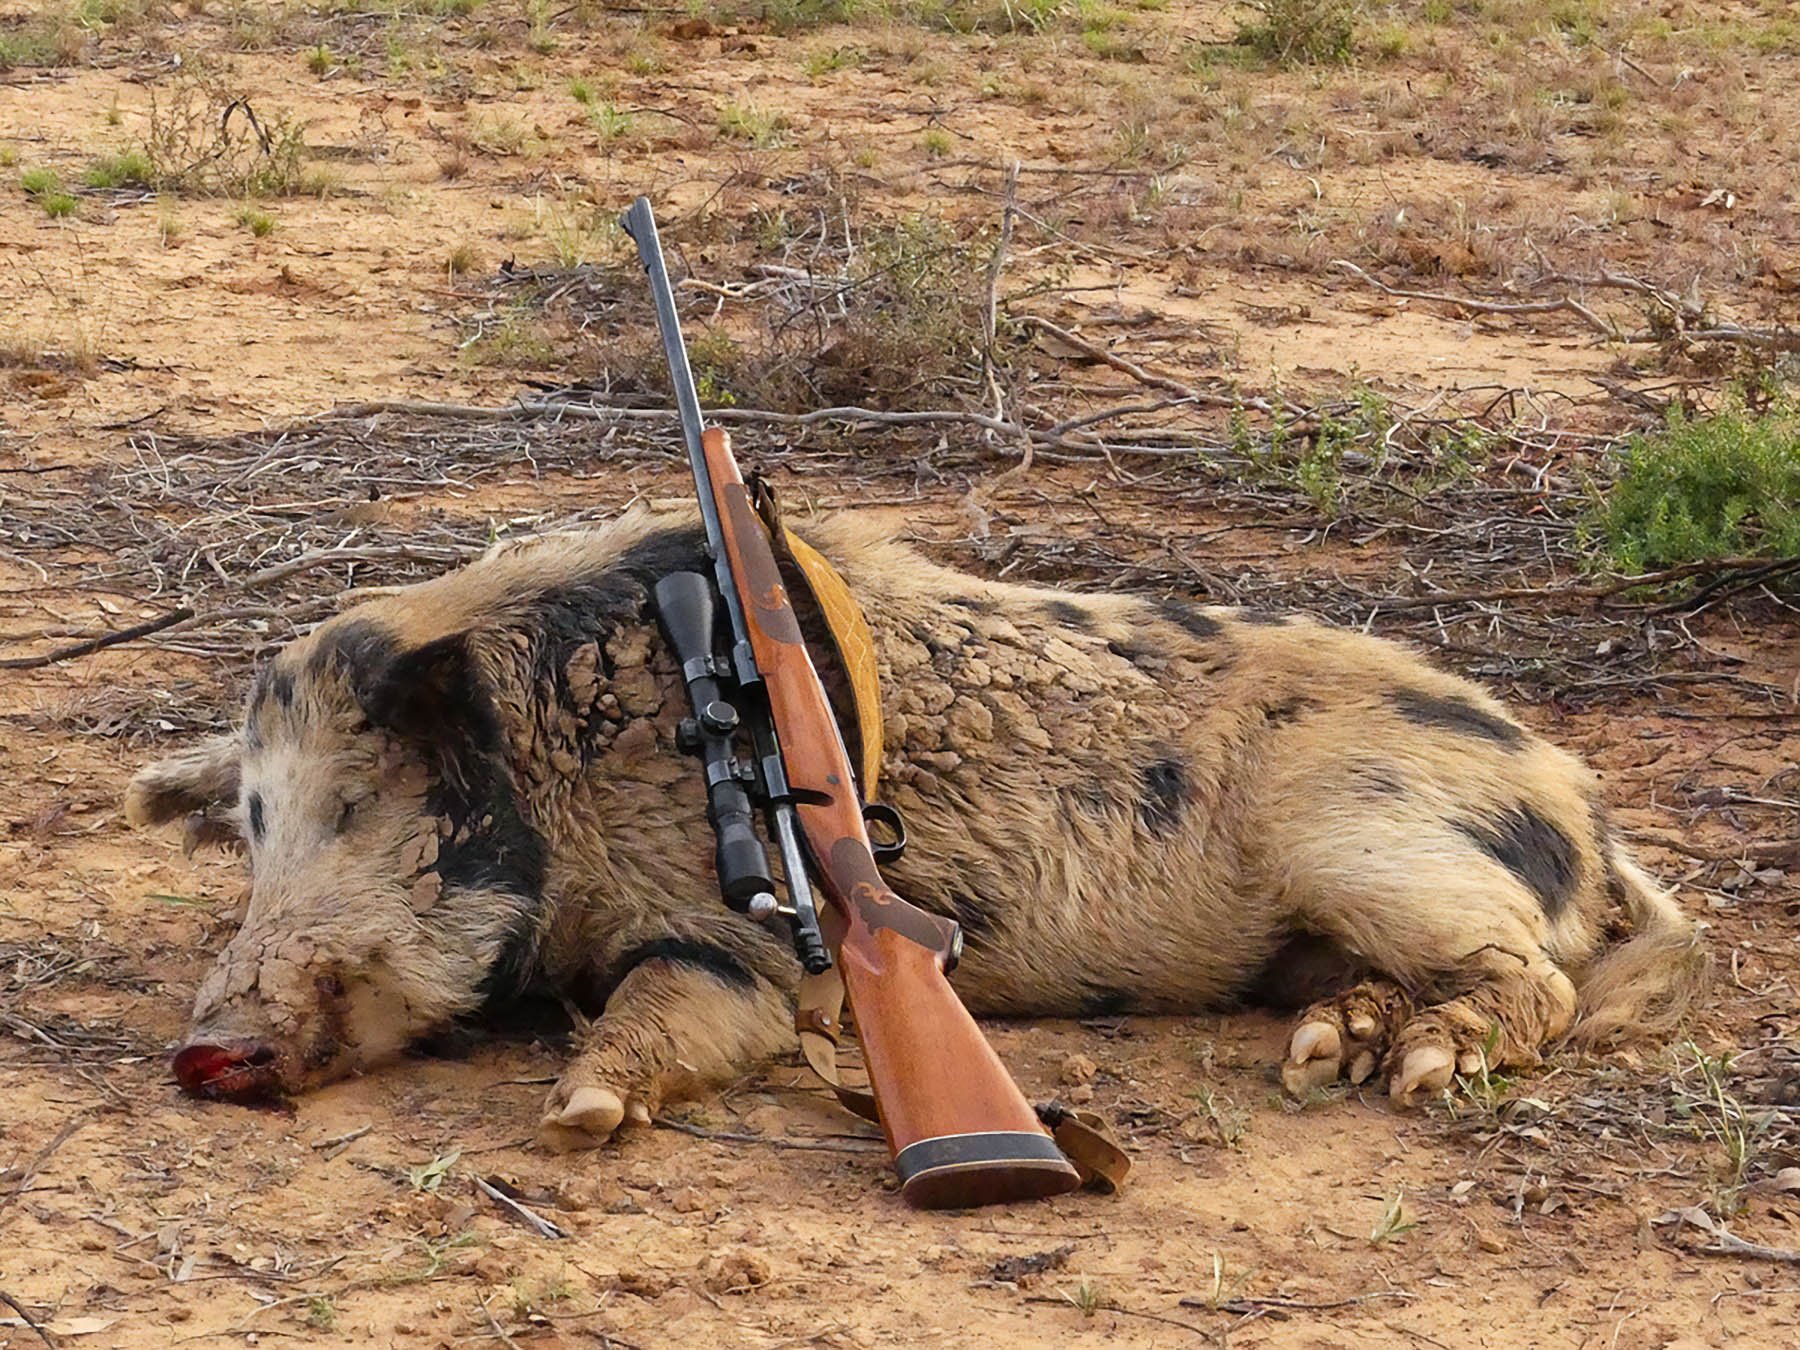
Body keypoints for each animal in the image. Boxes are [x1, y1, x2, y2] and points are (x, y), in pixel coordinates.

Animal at [126, 508, 1706, 1150]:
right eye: (250, 832)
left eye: (351, 808)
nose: (207, 1049)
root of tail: (1579, 798)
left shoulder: (741, 943)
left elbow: (680, 1011)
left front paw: (577, 1111)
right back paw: (1332, 1051)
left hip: (1378, 841)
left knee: (1537, 980)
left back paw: (1412, 1074)